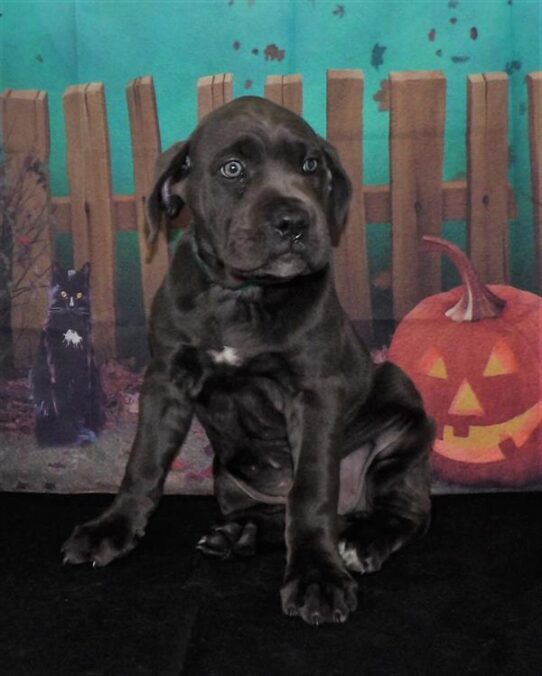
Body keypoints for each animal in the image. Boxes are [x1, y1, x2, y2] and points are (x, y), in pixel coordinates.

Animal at [31, 262, 107, 446]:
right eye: (63, 293)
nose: (71, 306)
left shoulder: (85, 371)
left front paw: (80, 431)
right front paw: (69, 433)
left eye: (79, 294)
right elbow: (63, 406)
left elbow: (80, 403)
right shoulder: (56, 372)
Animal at [62, 95, 438, 624]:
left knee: (402, 511)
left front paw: (316, 576)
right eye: (232, 168)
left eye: (311, 165)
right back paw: (238, 535)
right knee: (270, 514)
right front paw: (111, 529)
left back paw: (361, 540)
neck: (242, 294)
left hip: (401, 400)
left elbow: (311, 490)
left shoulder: (314, 393)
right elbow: (143, 462)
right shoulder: (166, 380)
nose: (294, 222)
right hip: (227, 475)